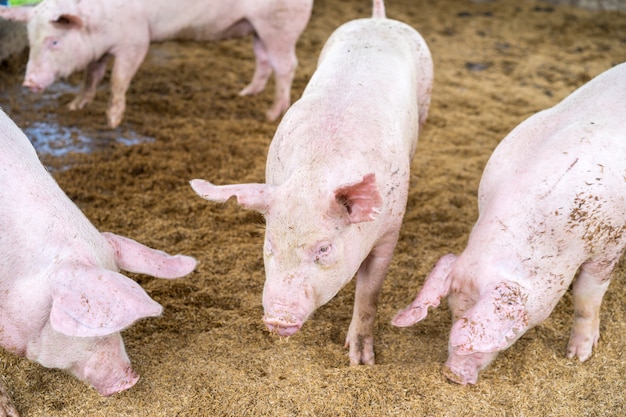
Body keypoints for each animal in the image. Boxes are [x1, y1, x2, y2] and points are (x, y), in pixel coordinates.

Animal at [0, 0, 312, 127]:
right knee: (263, 59)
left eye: (54, 41)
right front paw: (75, 106)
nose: (29, 82)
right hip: (258, 29)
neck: (97, 23)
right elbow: (92, 74)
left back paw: (272, 114)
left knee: (287, 66)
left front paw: (112, 122)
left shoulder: (136, 41)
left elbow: (118, 80)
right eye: (30, 39)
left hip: (279, 24)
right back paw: (246, 93)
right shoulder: (99, 51)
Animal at [191, 0, 434, 364]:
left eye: (323, 248)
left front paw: (361, 361)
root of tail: (379, 20)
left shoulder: (390, 229)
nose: (277, 318)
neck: (317, 172)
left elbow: (369, 294)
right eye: (270, 243)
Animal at [390, 61, 624, 384]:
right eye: (454, 312)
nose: (452, 375)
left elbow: (586, 299)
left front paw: (578, 357)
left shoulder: (608, 246)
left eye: (506, 334)